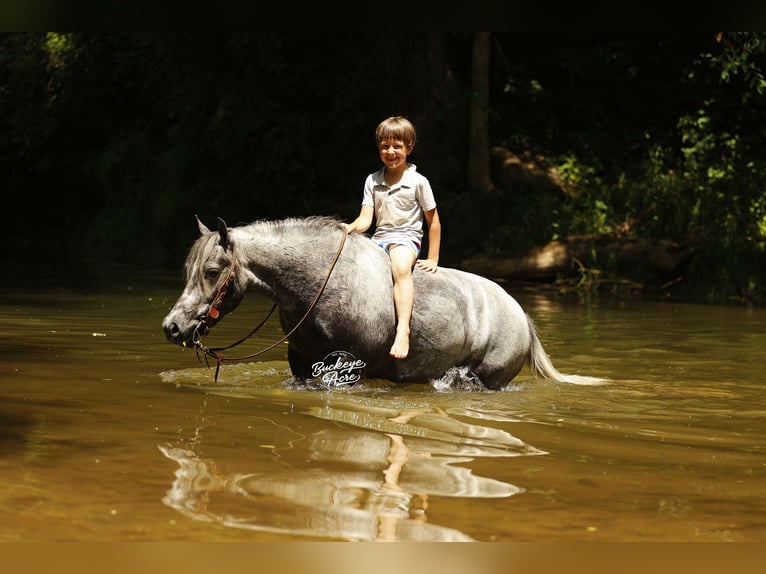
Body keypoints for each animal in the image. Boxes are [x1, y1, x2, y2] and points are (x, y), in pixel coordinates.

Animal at [161, 215, 607, 390]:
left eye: (212, 271)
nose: (172, 327)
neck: (317, 281)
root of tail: (522, 317)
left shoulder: (347, 366)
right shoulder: (301, 363)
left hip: (486, 378)